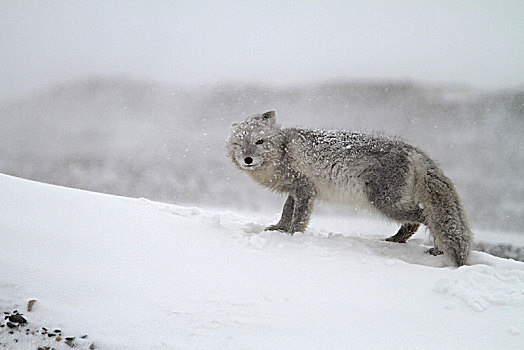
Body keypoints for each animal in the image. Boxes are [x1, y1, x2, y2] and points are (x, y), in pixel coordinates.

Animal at [227, 109, 472, 266]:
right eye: (239, 144)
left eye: (259, 142)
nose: (247, 159)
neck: (282, 152)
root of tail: (412, 149)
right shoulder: (294, 191)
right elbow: (286, 212)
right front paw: (278, 229)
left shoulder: (305, 189)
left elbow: (298, 218)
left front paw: (293, 237)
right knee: (414, 223)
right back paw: (395, 241)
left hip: (385, 203)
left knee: (426, 217)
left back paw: (436, 249)